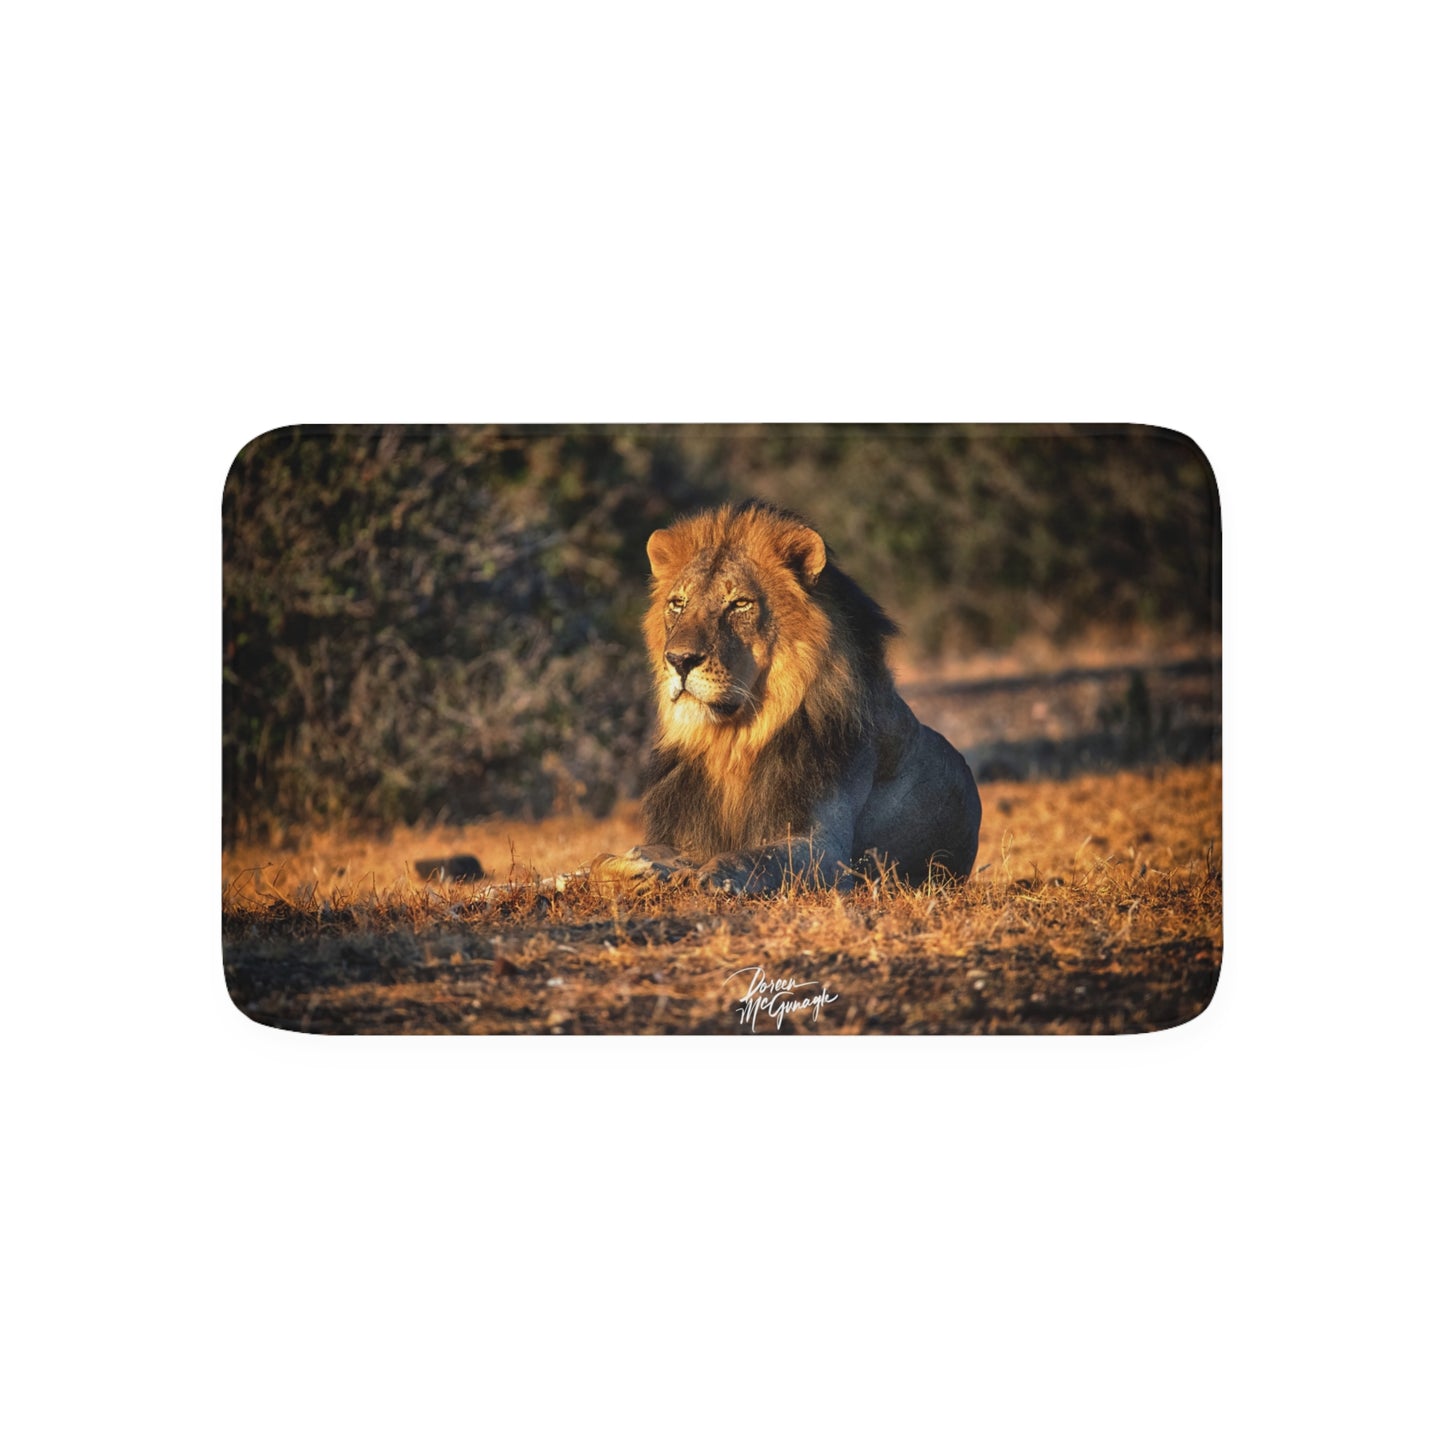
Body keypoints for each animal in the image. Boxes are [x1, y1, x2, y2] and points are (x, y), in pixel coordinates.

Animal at [595, 500, 982, 894]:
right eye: (677, 603)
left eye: (740, 603)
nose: (678, 660)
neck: (732, 742)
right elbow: (607, 858)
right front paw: (629, 865)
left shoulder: (826, 849)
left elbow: (757, 857)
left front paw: (713, 875)